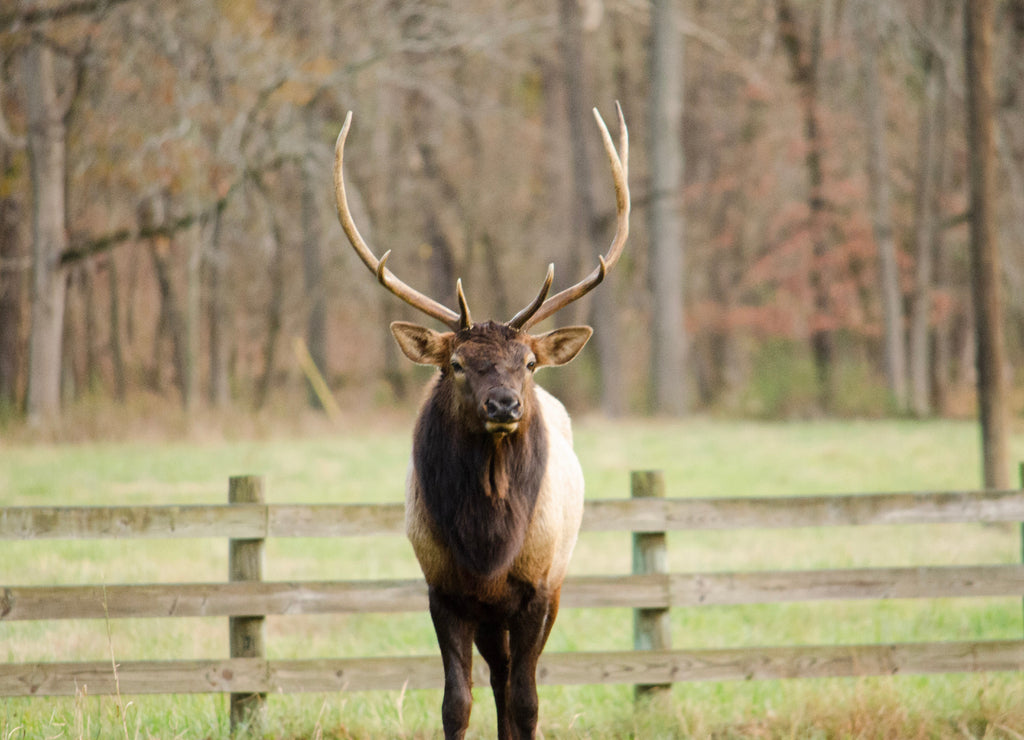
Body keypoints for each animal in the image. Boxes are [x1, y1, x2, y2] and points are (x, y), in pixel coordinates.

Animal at [332, 104, 629, 740]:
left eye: (529, 362)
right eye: (457, 364)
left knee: (514, 684)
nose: (504, 406)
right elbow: (457, 703)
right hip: (491, 616)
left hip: (553, 584)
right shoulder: (443, 589)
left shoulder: (538, 588)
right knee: (496, 679)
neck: (488, 546)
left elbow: (528, 703)